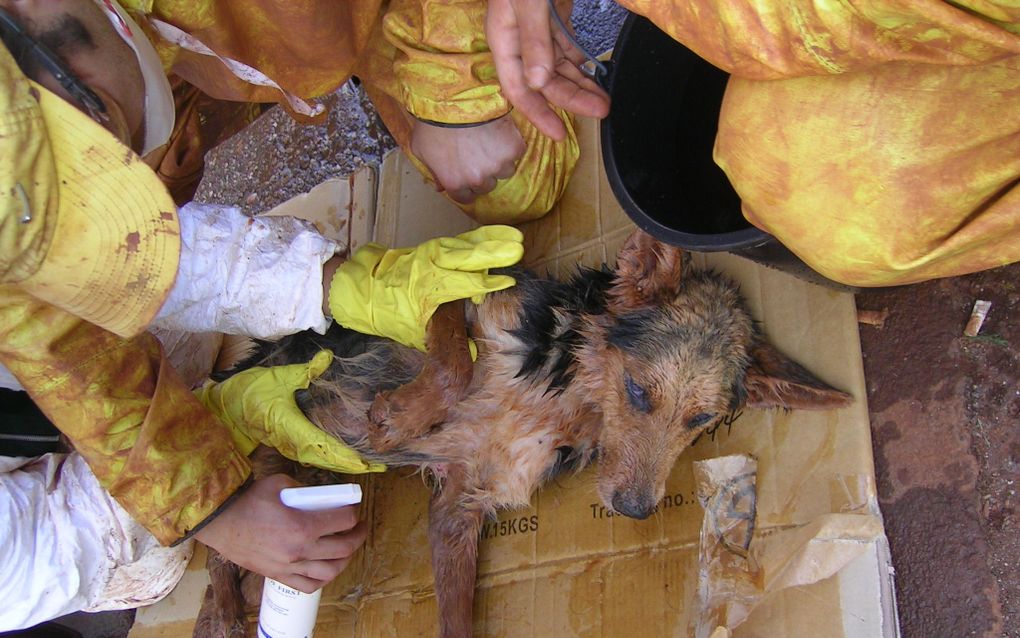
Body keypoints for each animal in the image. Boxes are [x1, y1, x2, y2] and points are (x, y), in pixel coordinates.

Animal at [194, 229, 848, 636]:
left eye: (700, 421)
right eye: (639, 392)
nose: (636, 510)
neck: (563, 395)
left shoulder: (462, 501)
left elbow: (456, 617)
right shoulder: (459, 288)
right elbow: (447, 352)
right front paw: (403, 415)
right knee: (217, 536)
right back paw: (221, 611)